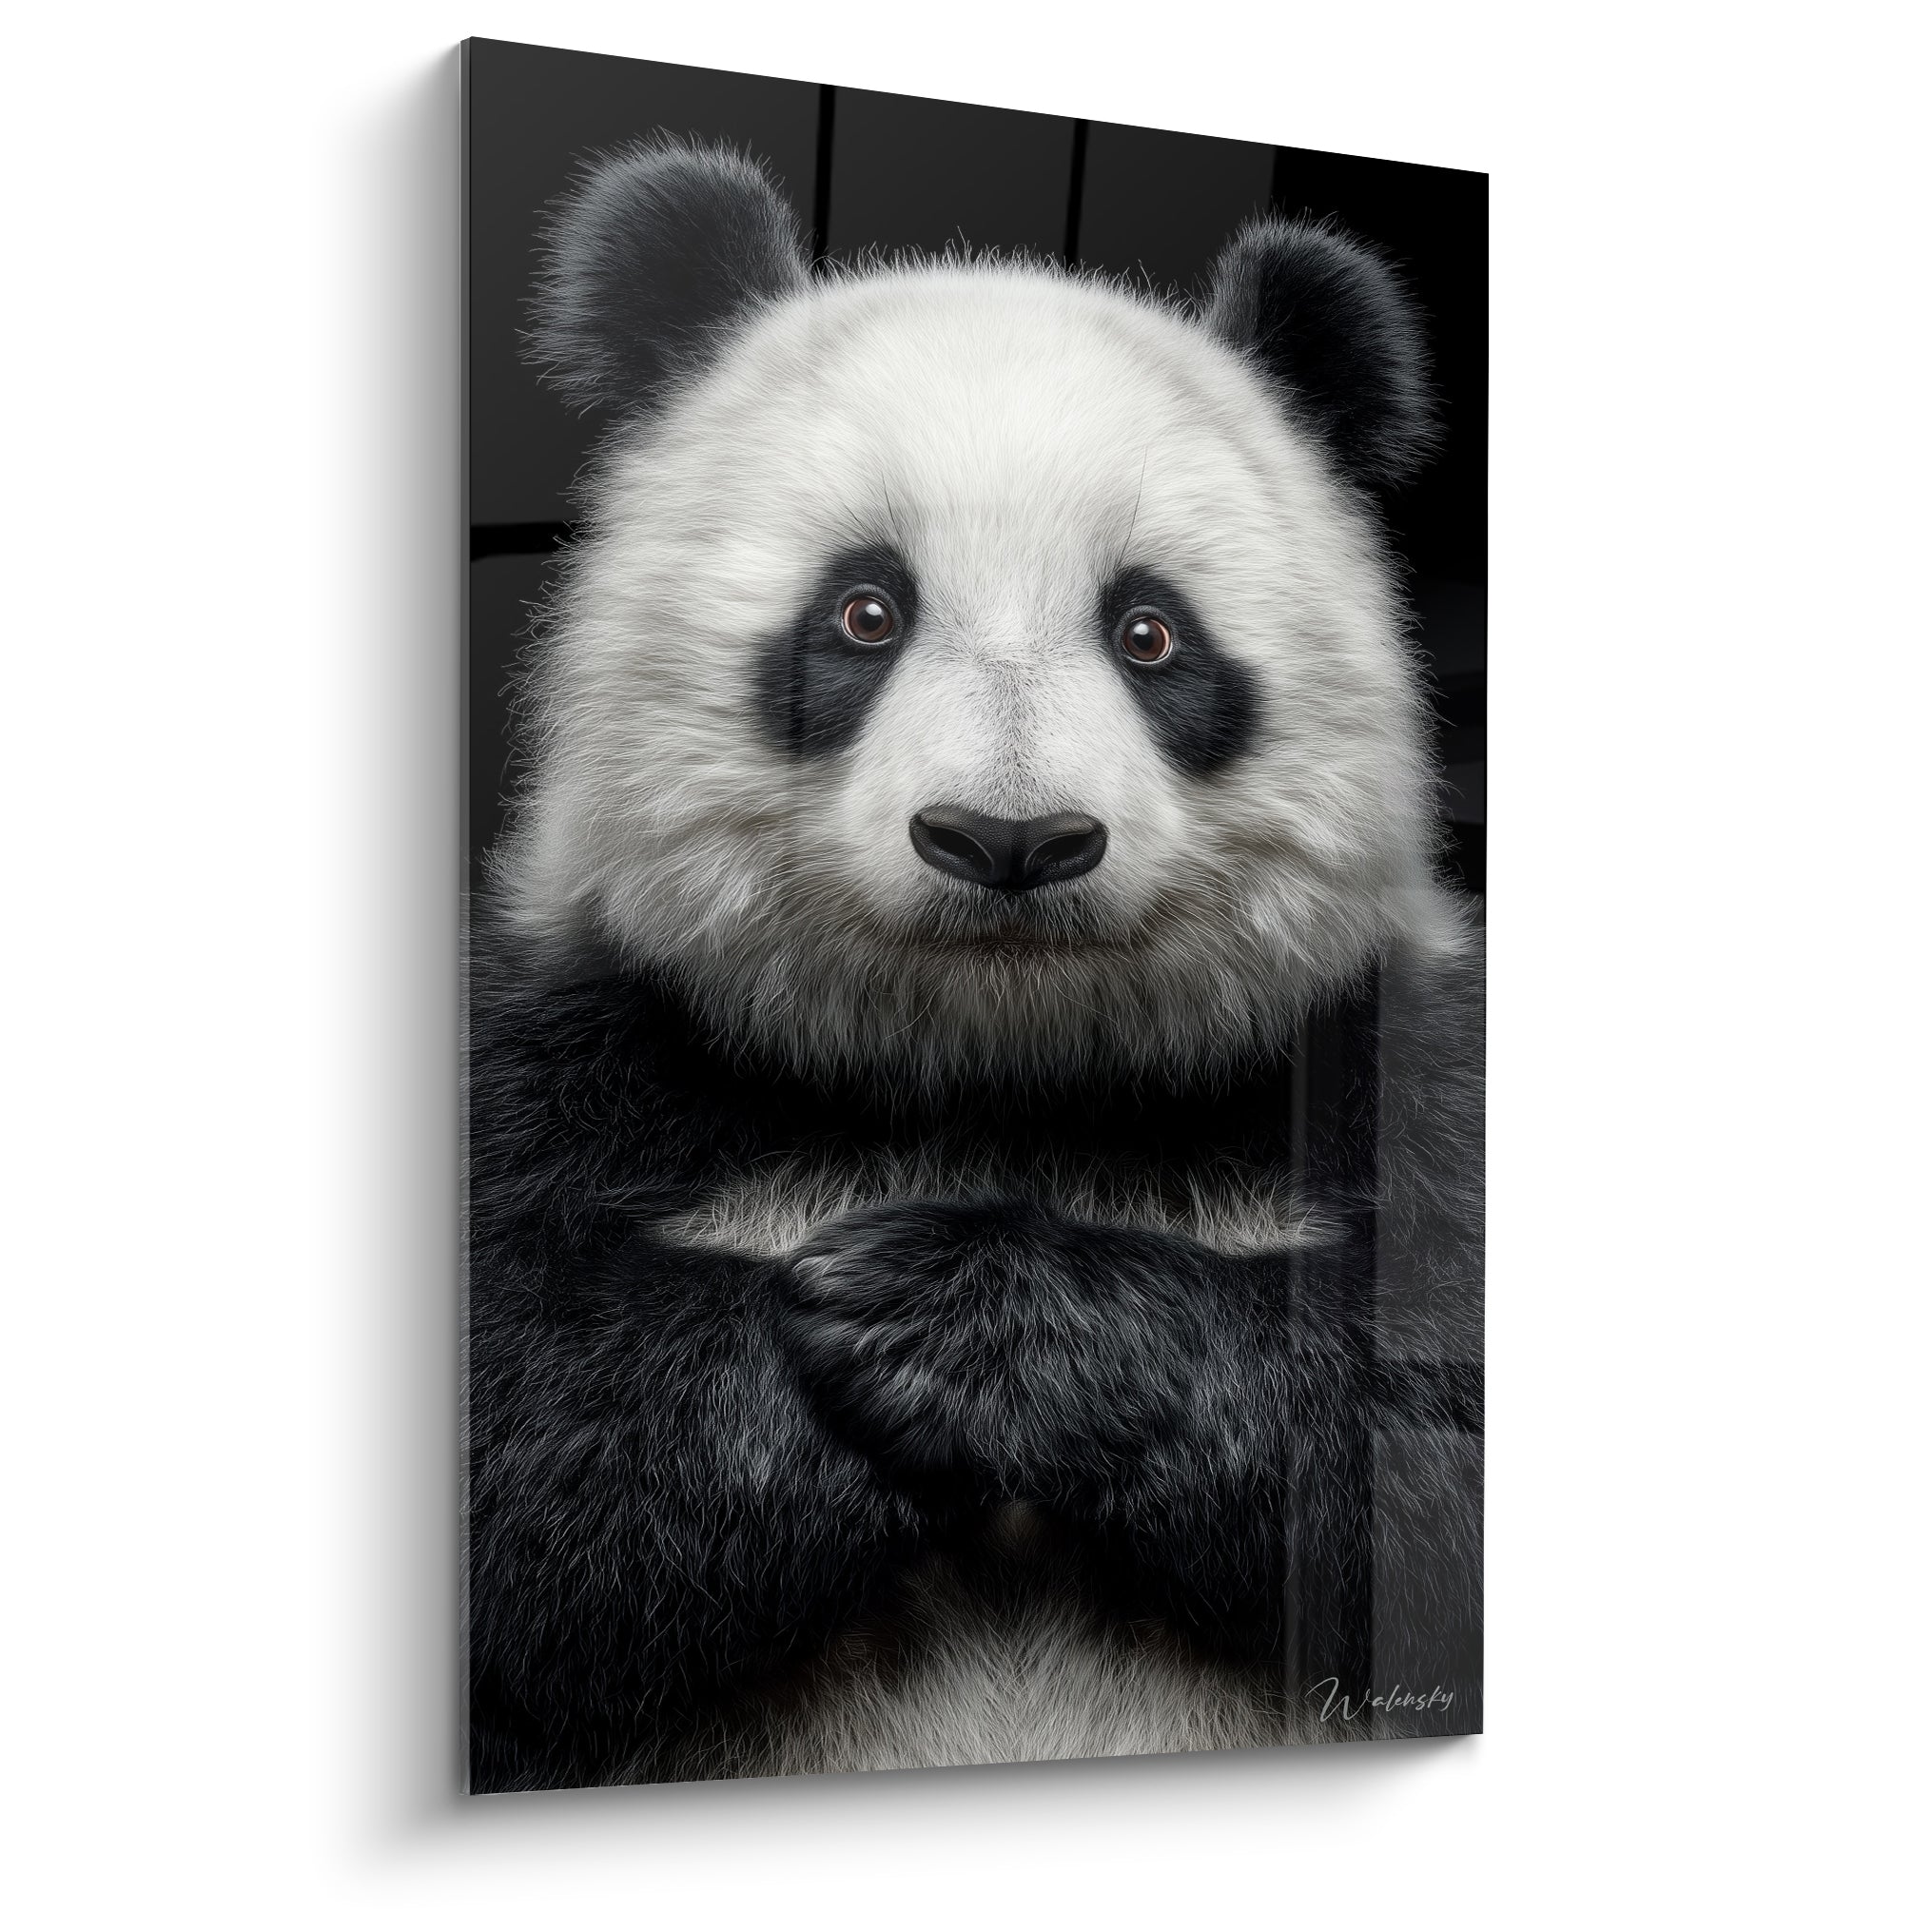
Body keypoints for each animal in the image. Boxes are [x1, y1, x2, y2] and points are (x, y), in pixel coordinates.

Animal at [464, 139, 1484, 1793]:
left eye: (1148, 631)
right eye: (863, 609)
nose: (1007, 842)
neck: (991, 1070)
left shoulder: (1394, 1072)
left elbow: (1429, 1422)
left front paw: (973, 1317)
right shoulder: (568, 1049)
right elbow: (521, 1439)